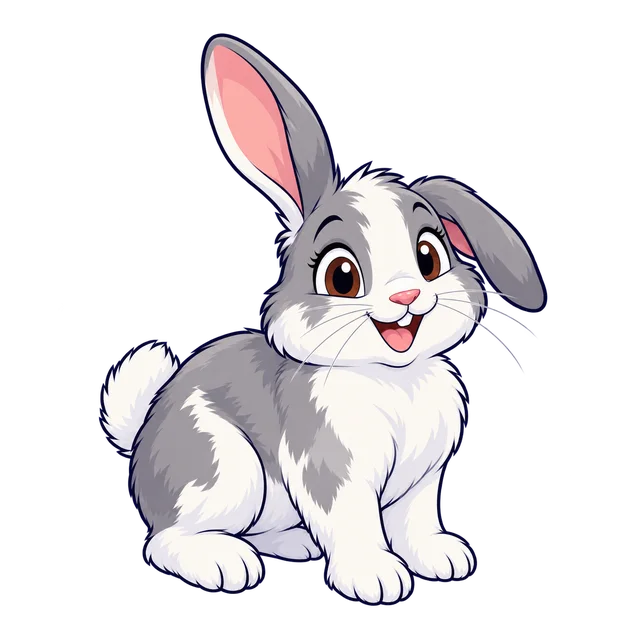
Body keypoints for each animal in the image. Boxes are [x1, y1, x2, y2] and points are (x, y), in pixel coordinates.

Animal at [97, 32, 547, 606]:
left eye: (429, 256)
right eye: (341, 275)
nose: (407, 294)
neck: (389, 377)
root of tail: (142, 446)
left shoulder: (423, 481)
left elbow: (417, 522)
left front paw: (443, 559)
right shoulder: (334, 477)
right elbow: (354, 523)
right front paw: (376, 579)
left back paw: (296, 545)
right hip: (228, 472)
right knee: (165, 540)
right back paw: (225, 563)